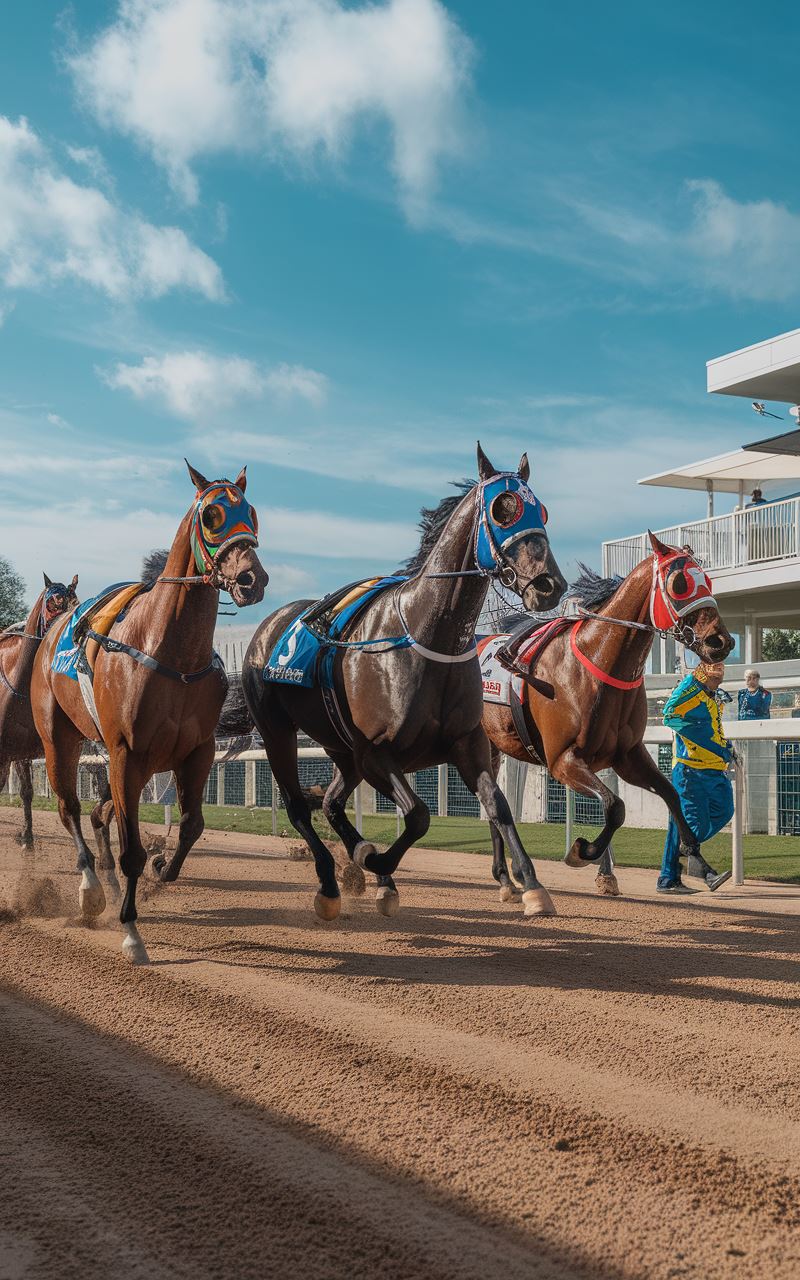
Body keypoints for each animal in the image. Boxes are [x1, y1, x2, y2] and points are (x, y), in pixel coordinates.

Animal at [31, 465, 268, 962]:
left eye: (252, 513)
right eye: (212, 514)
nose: (251, 579)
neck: (170, 652)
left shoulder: (197, 752)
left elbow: (192, 826)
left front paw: (162, 867)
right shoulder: (127, 754)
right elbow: (130, 850)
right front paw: (131, 931)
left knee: (97, 813)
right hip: (58, 737)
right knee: (69, 809)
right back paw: (90, 889)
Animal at [240, 445, 565, 926]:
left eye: (541, 510)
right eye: (503, 508)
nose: (549, 585)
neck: (428, 635)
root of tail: (267, 627)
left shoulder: (466, 745)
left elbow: (497, 804)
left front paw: (531, 885)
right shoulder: (376, 752)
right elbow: (418, 815)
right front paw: (376, 862)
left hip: (342, 751)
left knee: (331, 801)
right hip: (279, 731)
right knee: (300, 805)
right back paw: (332, 884)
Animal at [476, 529, 732, 901]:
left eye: (709, 580)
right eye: (680, 583)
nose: (721, 641)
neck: (599, 662)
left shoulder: (627, 755)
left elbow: (668, 794)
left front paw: (700, 862)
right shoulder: (562, 760)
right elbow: (615, 806)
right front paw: (583, 850)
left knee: (493, 801)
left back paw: (507, 878)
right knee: (493, 800)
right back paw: (513, 875)